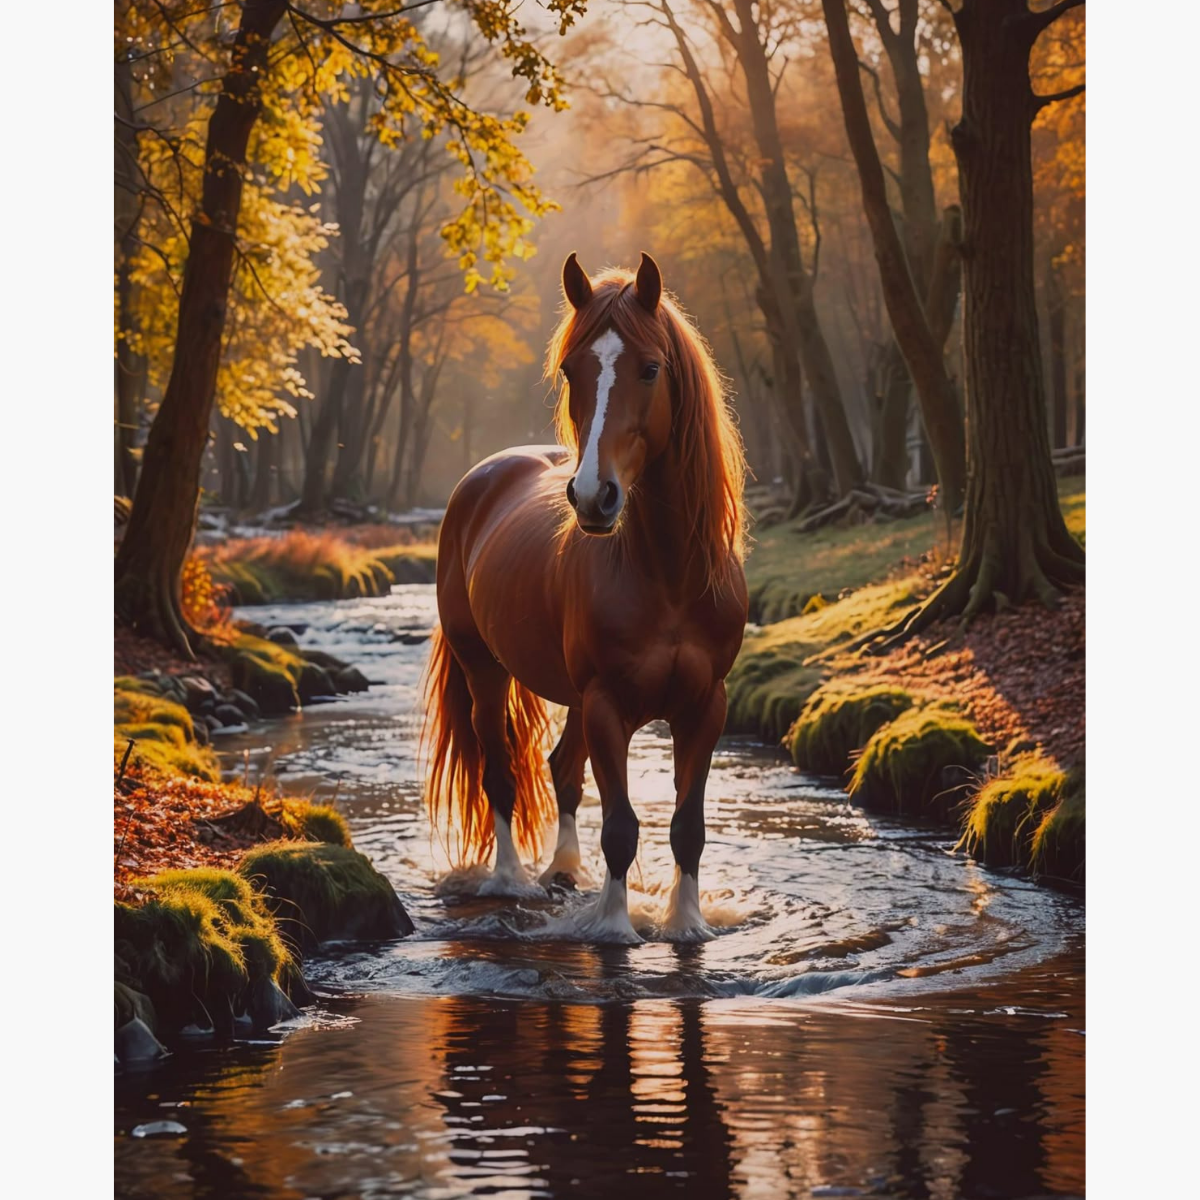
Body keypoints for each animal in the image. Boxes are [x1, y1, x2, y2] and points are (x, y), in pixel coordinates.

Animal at [421, 251, 748, 942]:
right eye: (573, 369)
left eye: (650, 368)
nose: (594, 496)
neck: (668, 576)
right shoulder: (606, 706)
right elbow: (621, 827)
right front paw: (615, 928)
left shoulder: (705, 705)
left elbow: (688, 828)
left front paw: (685, 924)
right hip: (486, 672)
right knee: (501, 775)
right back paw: (511, 880)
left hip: (573, 697)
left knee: (562, 772)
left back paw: (564, 872)